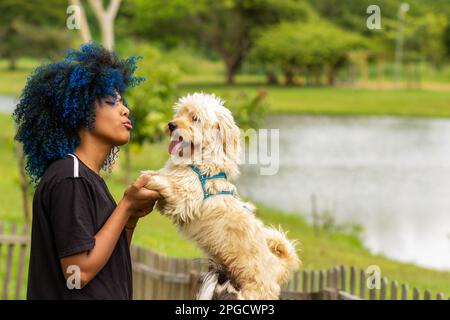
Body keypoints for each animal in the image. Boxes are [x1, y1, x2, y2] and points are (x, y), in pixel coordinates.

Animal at [142, 92, 300, 300]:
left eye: (195, 118)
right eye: (180, 113)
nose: (172, 125)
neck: (198, 163)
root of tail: (279, 268)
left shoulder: (185, 201)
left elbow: (168, 186)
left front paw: (151, 180)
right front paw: (150, 175)